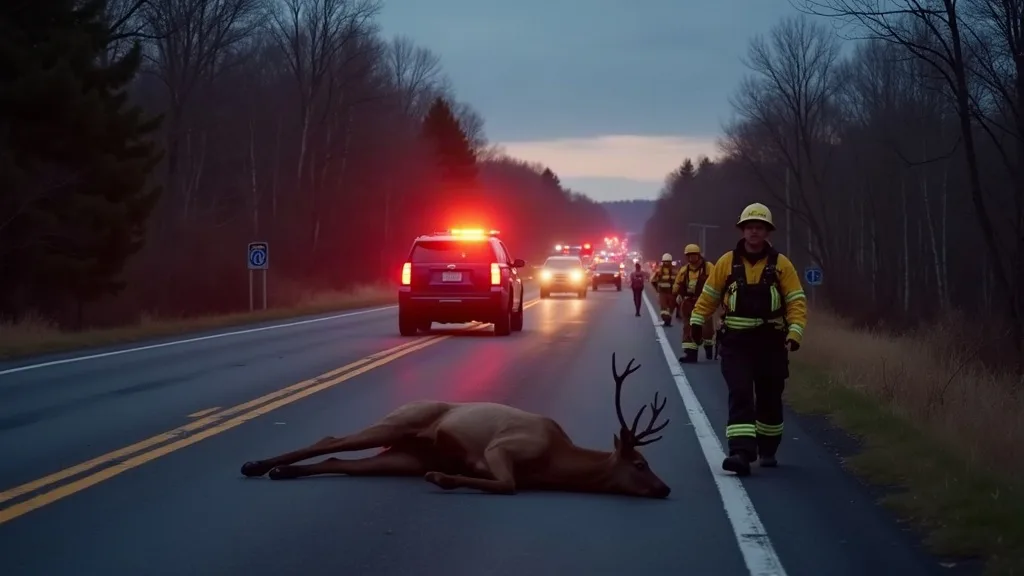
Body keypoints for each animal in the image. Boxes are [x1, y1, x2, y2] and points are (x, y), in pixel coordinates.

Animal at [239, 353, 672, 498]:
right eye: (640, 464)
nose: (666, 488)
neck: (555, 461)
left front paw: (443, 475)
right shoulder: (503, 447)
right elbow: (507, 485)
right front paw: (442, 479)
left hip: (401, 458)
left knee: (339, 462)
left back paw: (279, 472)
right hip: (399, 422)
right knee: (332, 438)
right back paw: (254, 465)